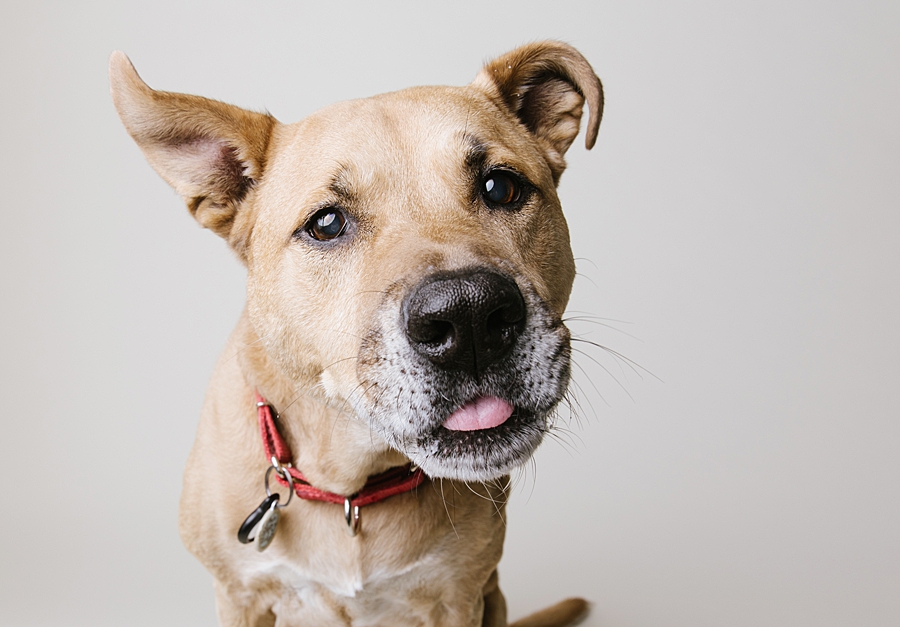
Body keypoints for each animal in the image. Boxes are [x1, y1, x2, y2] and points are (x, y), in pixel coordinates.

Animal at [110, 40, 604, 627]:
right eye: (326, 224)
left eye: (501, 187)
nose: (469, 317)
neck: (352, 487)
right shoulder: (239, 595)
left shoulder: (460, 596)